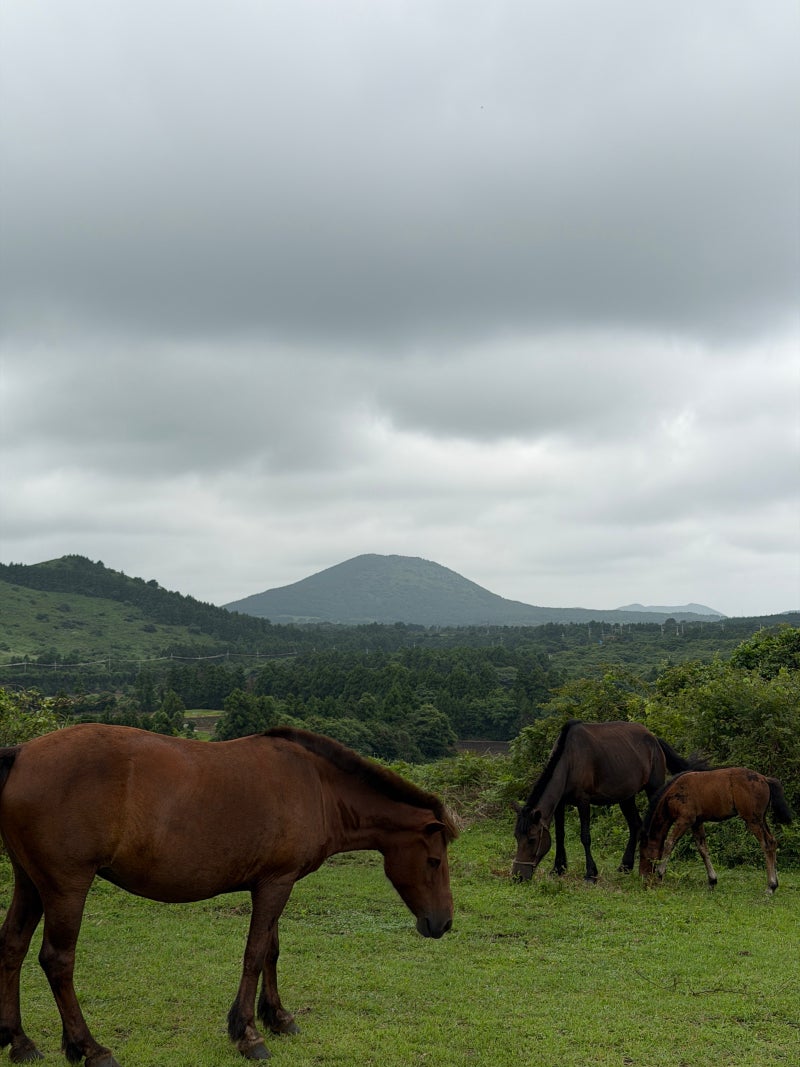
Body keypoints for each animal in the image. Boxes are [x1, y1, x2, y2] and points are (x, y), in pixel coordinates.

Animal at [0, 723, 458, 1067]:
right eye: (434, 860)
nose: (442, 923)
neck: (317, 786)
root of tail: (21, 753)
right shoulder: (275, 885)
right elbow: (254, 954)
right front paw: (249, 1034)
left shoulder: (275, 883)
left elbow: (271, 950)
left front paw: (278, 1017)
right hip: (66, 888)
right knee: (57, 961)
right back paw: (90, 1048)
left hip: (30, 884)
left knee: (13, 947)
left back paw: (20, 1042)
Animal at [511, 719, 705, 882]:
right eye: (516, 837)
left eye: (532, 839)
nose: (517, 877)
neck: (570, 760)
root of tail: (654, 739)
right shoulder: (560, 804)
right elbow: (560, 834)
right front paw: (558, 868)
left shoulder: (583, 801)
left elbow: (585, 836)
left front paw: (590, 873)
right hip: (626, 797)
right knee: (636, 825)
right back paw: (625, 866)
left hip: (653, 789)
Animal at [639, 767, 794, 893]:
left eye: (644, 855)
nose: (644, 878)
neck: (673, 794)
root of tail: (764, 779)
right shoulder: (697, 822)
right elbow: (703, 849)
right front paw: (712, 881)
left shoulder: (685, 820)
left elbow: (669, 843)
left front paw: (660, 875)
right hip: (761, 819)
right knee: (773, 842)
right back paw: (774, 884)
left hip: (753, 819)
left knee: (767, 844)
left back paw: (770, 886)